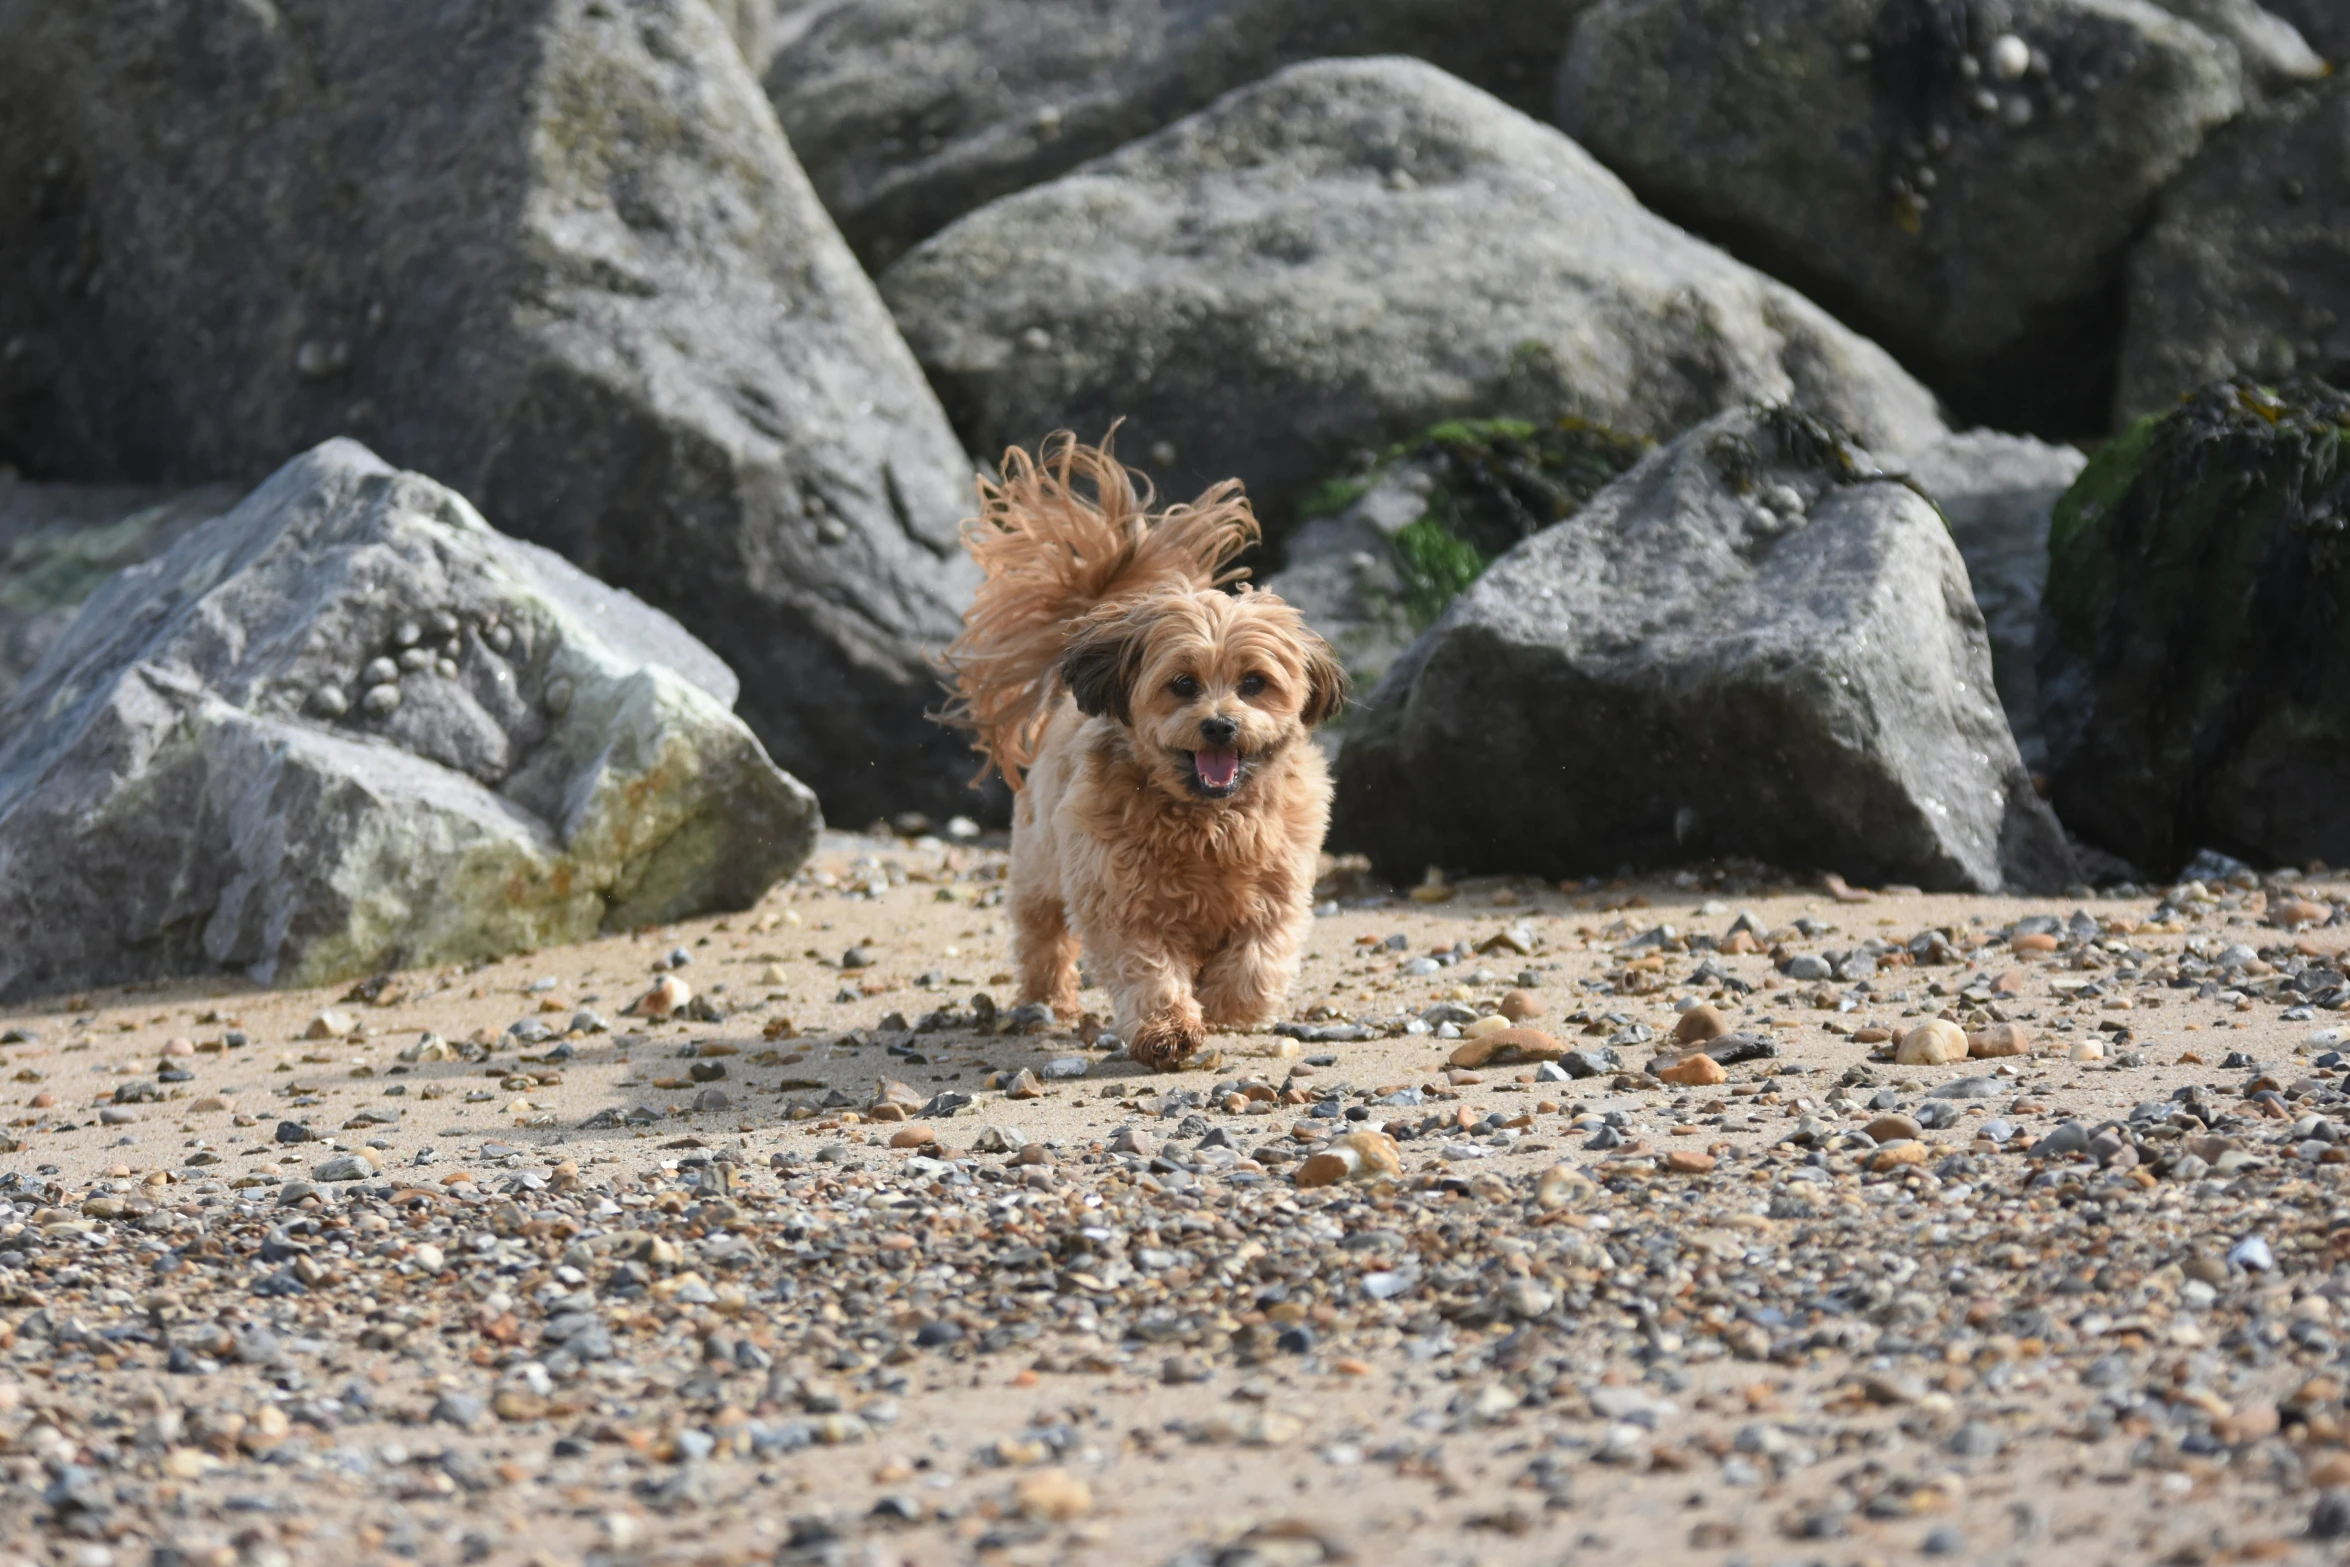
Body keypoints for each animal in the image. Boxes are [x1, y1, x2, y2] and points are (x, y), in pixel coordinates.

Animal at [930, 441, 1344, 1080]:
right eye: (1182, 684)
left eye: (1254, 682)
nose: (1219, 724)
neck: (1209, 820)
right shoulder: (1118, 899)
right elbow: (1146, 968)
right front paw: (1168, 1030)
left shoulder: (1280, 886)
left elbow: (1258, 959)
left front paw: (1225, 1001)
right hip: (1039, 864)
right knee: (1042, 936)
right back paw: (1047, 999)